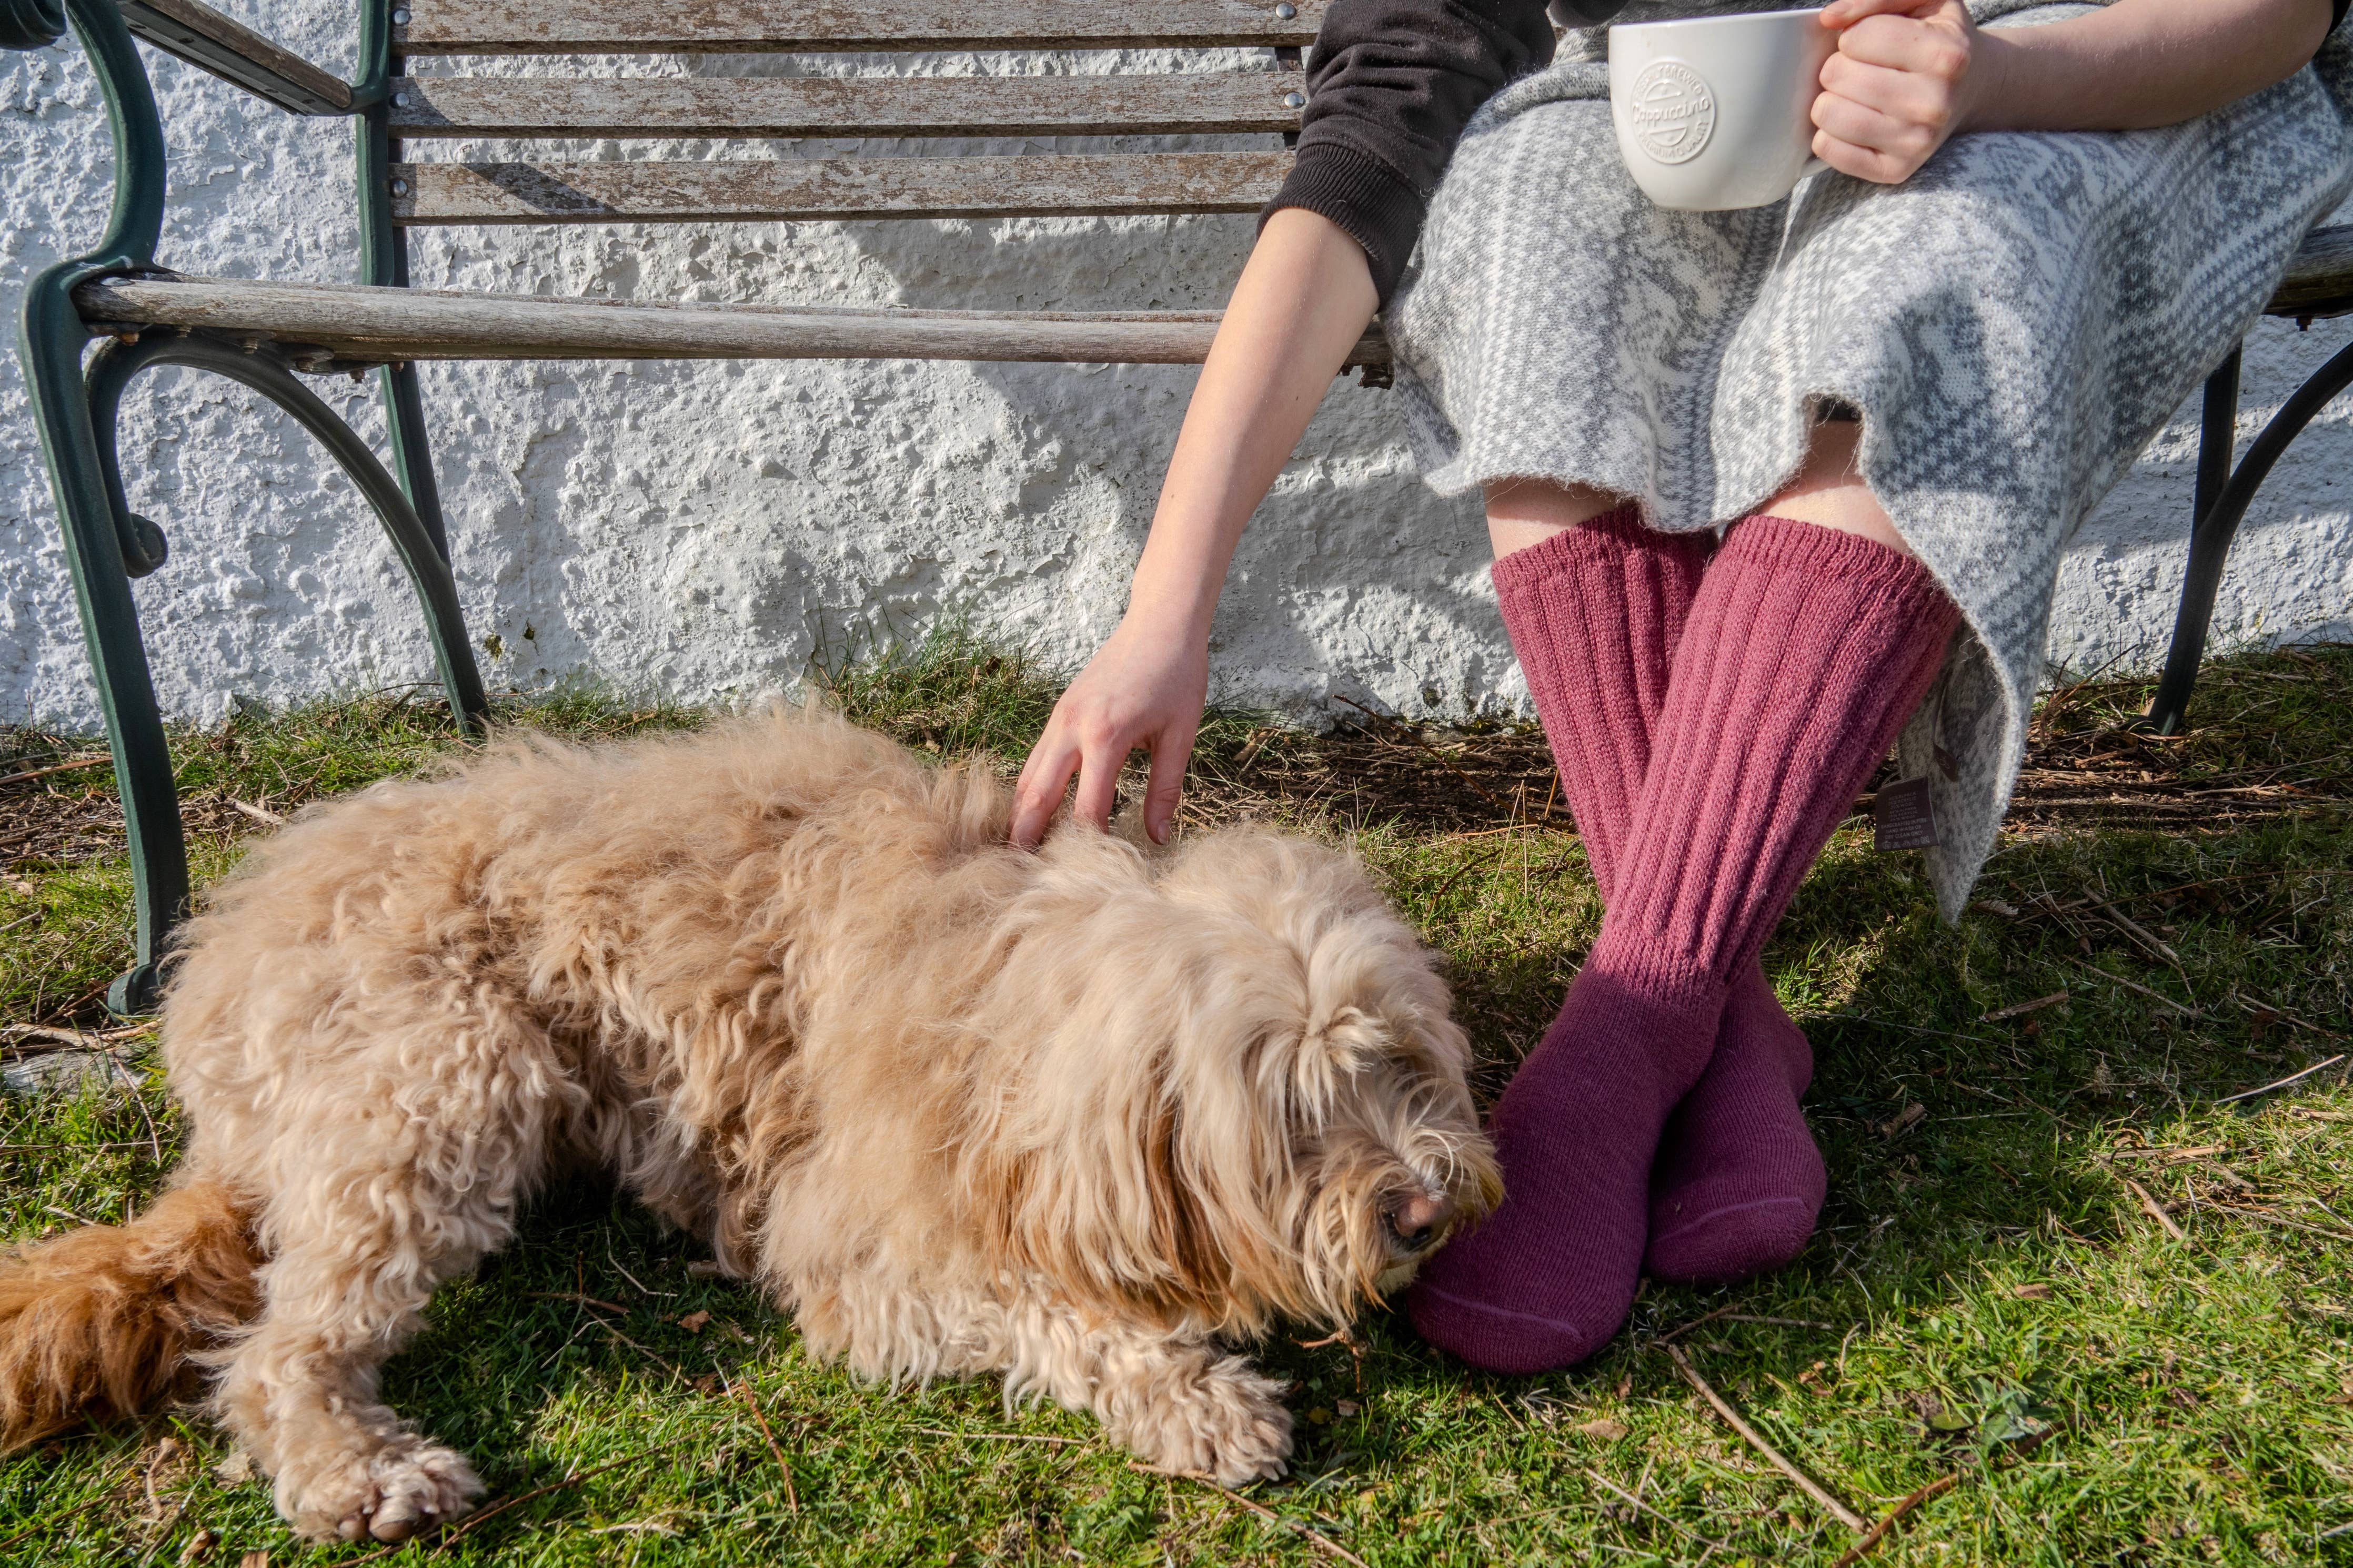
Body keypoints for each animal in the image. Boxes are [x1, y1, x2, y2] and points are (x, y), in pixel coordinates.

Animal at [0, 710, 1496, 1542]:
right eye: (1294, 1108)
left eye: (1398, 1061)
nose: (1426, 1210)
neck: (1010, 999)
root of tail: (215, 968)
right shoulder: (861, 1248)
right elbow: (1048, 1306)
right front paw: (1196, 1395)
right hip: (434, 1079)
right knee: (276, 1351)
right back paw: (357, 1465)